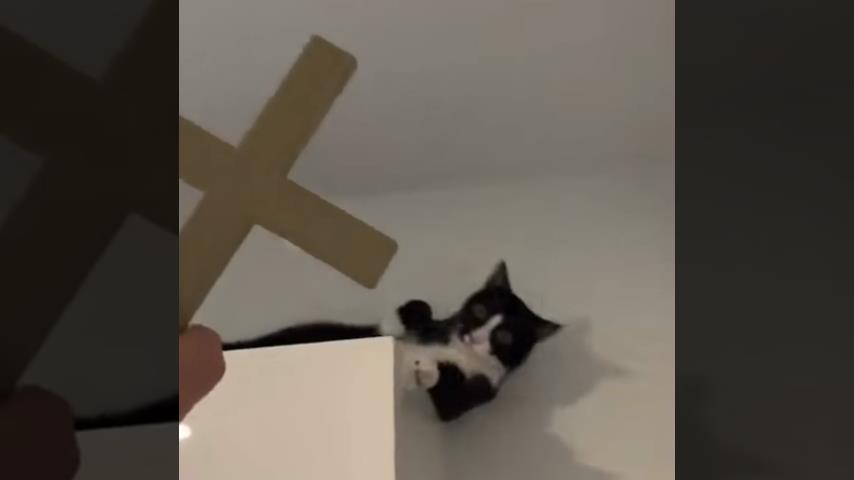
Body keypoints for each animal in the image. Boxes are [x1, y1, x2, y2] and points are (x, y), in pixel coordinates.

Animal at [74, 261, 561, 428]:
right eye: (479, 310)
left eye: (503, 336)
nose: (473, 334)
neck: (455, 348)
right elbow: (403, 319)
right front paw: (412, 314)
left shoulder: (465, 402)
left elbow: (446, 388)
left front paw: (424, 369)